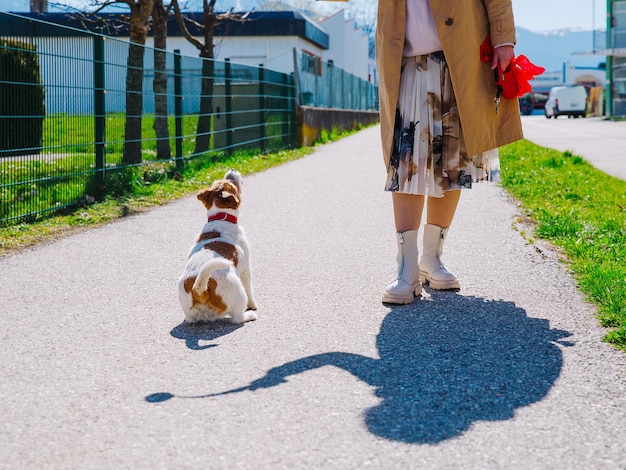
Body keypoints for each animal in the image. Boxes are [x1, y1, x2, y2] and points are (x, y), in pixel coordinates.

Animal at [178, 171, 258, 324]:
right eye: (233, 184)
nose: (232, 170)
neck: (220, 218)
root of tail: (199, 291)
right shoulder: (246, 268)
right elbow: (250, 290)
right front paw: (253, 305)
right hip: (238, 291)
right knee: (237, 318)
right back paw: (250, 315)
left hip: (190, 312)